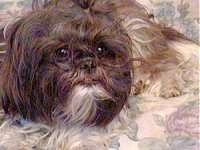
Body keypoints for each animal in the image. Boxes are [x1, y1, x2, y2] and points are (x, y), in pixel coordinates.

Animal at [0, 0, 198, 150]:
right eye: (62, 52)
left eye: (101, 49)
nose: (88, 63)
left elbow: (81, 133)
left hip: (137, 36)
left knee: (164, 62)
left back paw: (169, 86)